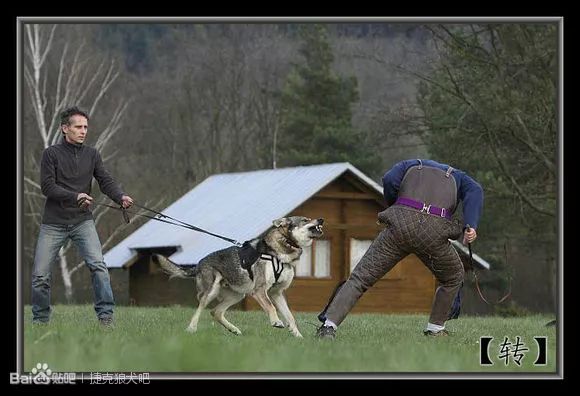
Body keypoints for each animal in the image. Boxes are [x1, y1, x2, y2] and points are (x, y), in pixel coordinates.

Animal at [154, 217, 324, 338]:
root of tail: (199, 263)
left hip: (237, 295)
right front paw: (276, 321)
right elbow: (271, 307)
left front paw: (298, 336)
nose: (321, 219)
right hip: (210, 291)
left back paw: (234, 330)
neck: (282, 252)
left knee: (215, 312)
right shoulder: (260, 290)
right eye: (305, 220)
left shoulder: (277, 293)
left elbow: (290, 317)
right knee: (199, 310)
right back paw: (191, 329)